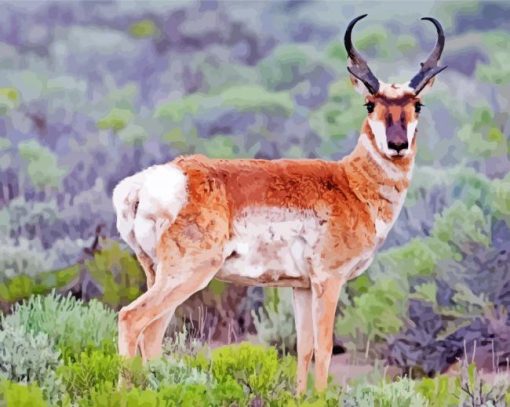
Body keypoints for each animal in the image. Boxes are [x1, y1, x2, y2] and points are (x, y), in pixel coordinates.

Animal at [112, 15, 446, 396]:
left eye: (416, 105)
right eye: (370, 104)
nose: (397, 144)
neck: (349, 183)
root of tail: (148, 182)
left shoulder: (300, 287)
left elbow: (304, 348)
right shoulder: (329, 281)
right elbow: (325, 347)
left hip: (159, 274)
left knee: (151, 334)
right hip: (187, 274)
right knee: (132, 319)